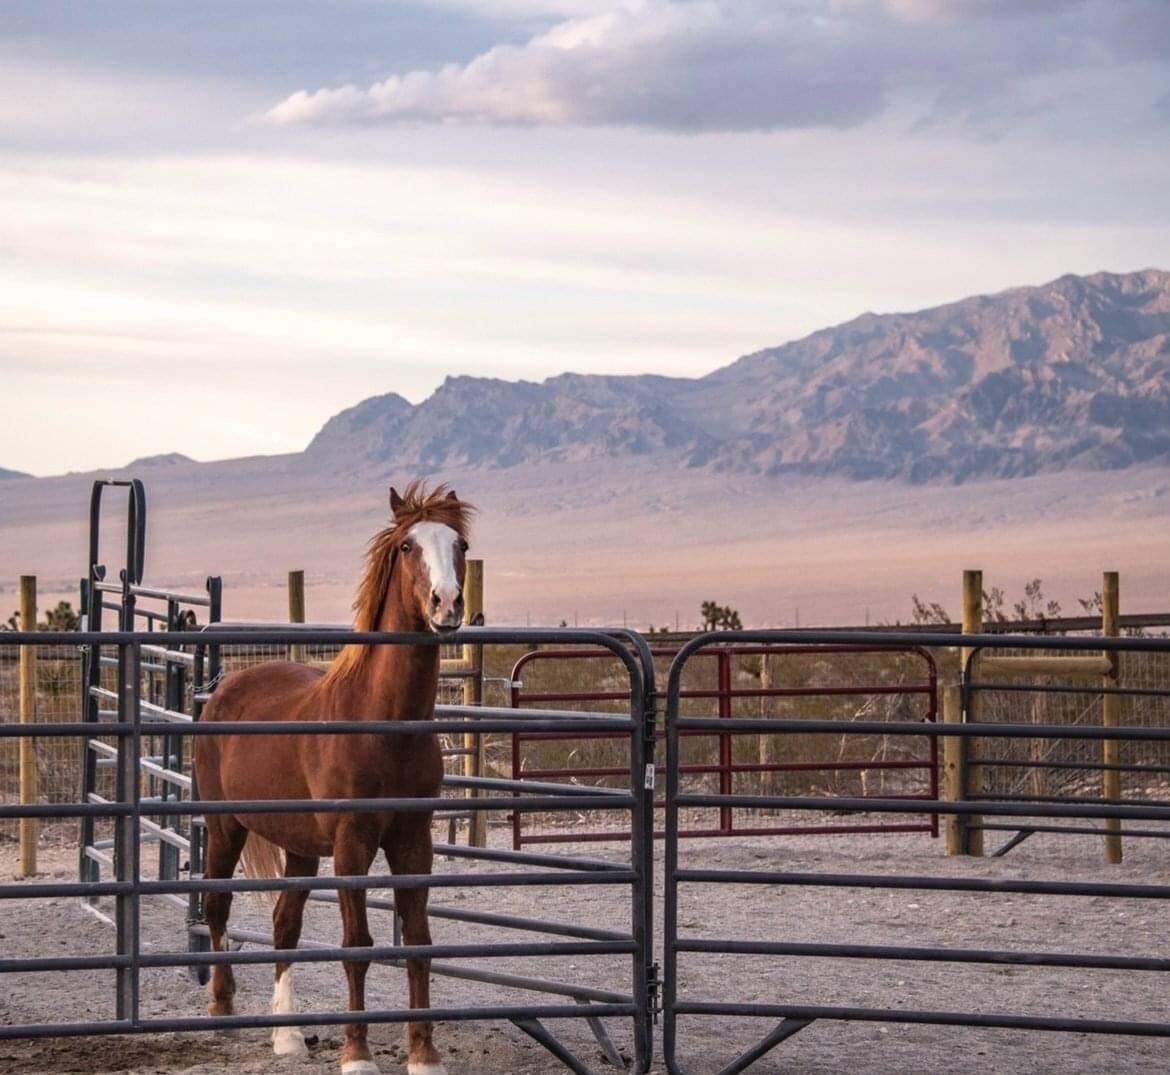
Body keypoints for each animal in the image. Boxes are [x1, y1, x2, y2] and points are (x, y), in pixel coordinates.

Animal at [194, 481, 474, 1075]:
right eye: (408, 547)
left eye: (460, 544)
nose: (447, 603)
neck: (382, 722)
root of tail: (225, 689)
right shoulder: (352, 844)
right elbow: (357, 945)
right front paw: (357, 1054)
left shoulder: (413, 841)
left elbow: (419, 941)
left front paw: (424, 1054)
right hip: (225, 826)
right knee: (217, 905)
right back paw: (222, 1007)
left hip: (299, 847)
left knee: (284, 925)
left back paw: (288, 1035)